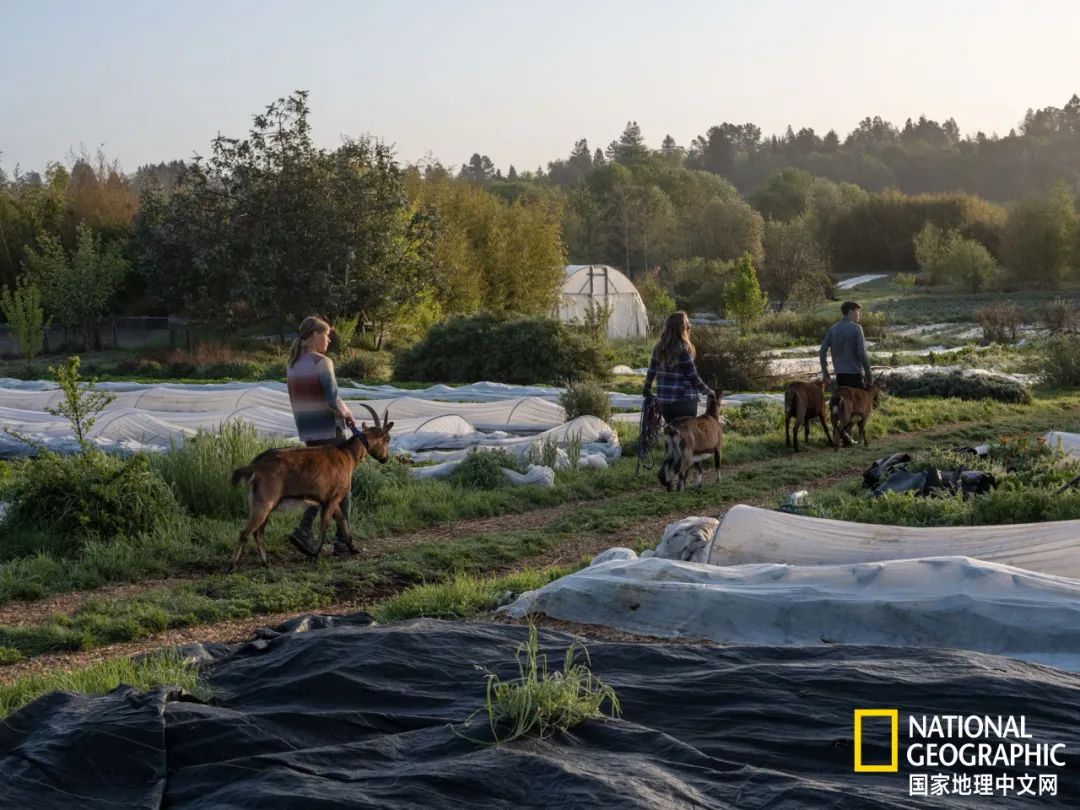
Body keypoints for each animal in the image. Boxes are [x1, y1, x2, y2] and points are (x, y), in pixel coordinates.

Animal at [226, 403, 393, 570]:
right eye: (387, 438)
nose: (385, 459)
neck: (348, 454)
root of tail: (256, 465)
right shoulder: (334, 498)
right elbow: (325, 524)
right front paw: (315, 554)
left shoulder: (329, 500)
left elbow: (342, 520)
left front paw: (353, 548)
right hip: (265, 501)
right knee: (245, 532)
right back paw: (233, 565)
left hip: (265, 502)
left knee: (258, 532)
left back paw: (265, 563)